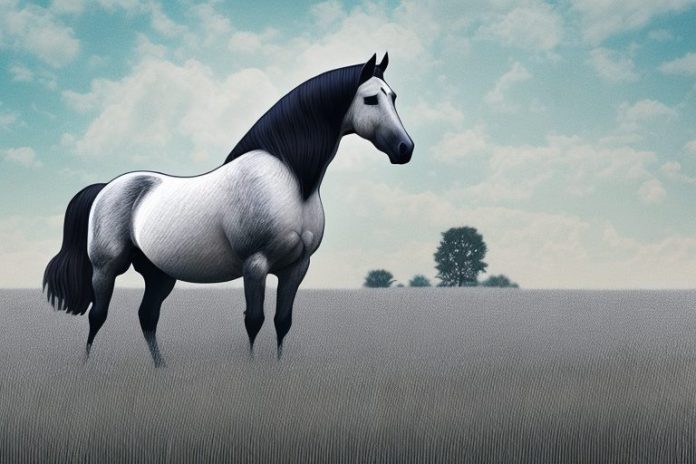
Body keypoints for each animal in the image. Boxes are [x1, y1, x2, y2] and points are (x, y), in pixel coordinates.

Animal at [43, 53, 414, 367]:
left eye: (394, 96)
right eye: (370, 99)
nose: (405, 149)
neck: (289, 181)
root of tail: (106, 188)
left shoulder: (296, 267)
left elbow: (283, 322)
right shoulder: (256, 264)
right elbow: (254, 321)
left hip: (159, 274)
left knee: (147, 317)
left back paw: (161, 370)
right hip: (106, 268)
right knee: (97, 315)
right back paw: (87, 367)